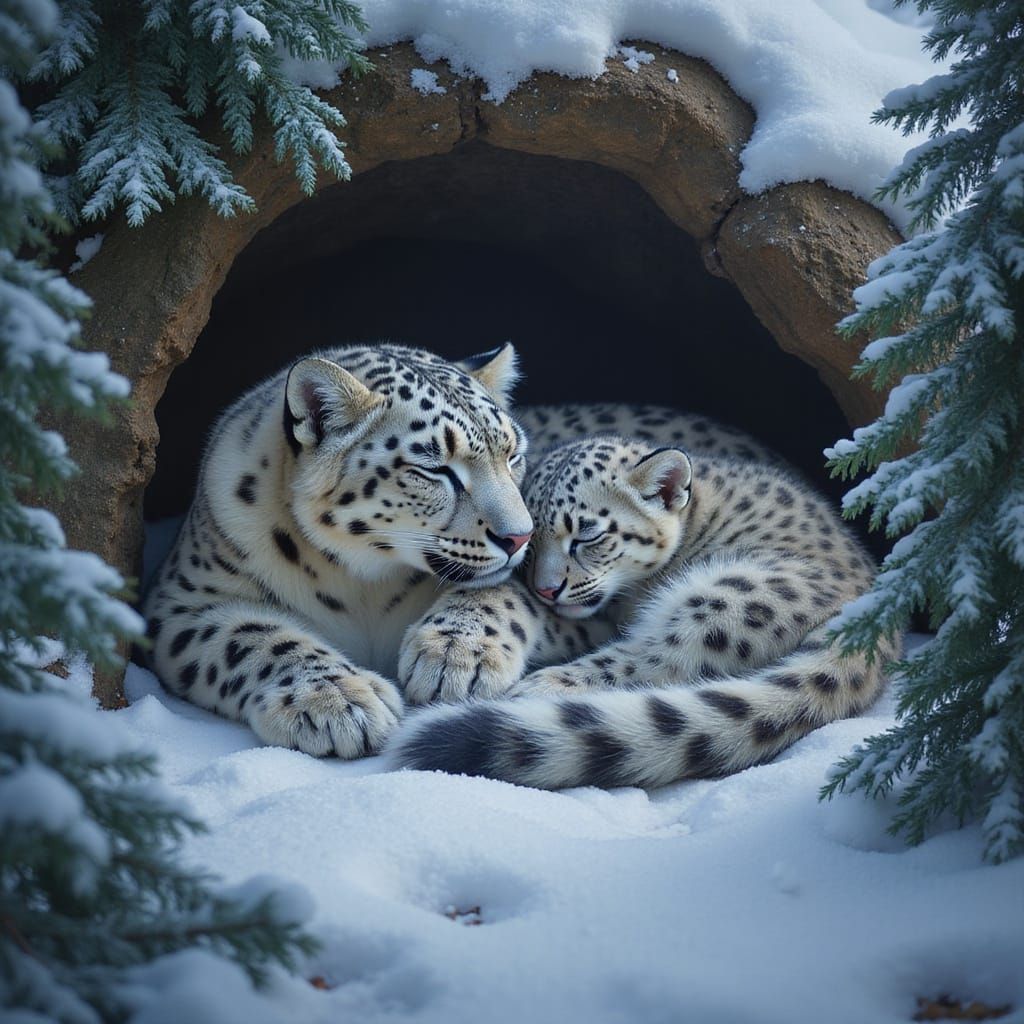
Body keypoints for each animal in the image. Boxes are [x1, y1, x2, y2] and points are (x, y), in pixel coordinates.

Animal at [143, 342, 535, 758]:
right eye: (434, 469)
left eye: (513, 455)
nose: (520, 537)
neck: (364, 584)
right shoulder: (184, 601)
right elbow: (253, 636)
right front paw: (339, 702)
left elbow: (496, 594)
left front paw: (457, 656)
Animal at [390, 433, 895, 788]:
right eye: (531, 541)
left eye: (588, 534)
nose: (547, 590)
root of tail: (874, 623)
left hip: (729, 601)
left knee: (657, 661)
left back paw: (534, 690)